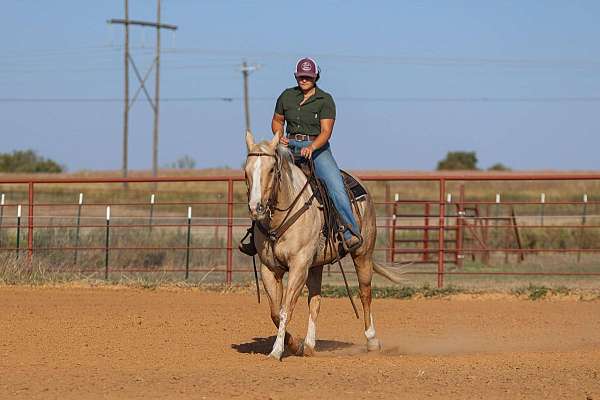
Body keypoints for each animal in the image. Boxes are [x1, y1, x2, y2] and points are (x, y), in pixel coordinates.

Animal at [244, 130, 404, 360]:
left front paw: (276, 351)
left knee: (365, 294)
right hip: (316, 265)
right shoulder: (270, 268)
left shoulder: (299, 266)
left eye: (272, 169)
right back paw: (309, 345)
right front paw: (294, 345)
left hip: (363, 254)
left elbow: (285, 310)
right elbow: (275, 312)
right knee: (315, 301)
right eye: (245, 171)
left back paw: (372, 341)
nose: (256, 208)